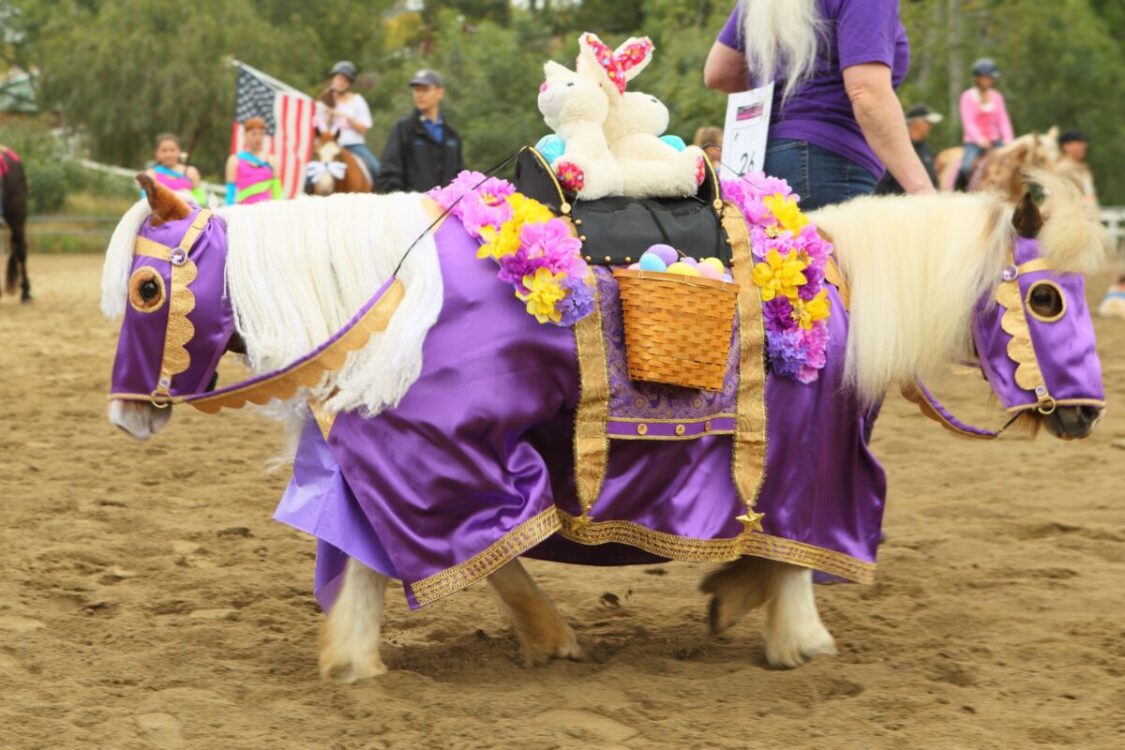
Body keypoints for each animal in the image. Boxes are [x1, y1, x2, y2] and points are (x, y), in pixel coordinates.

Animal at [103, 173, 1107, 683]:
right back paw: (543, 637)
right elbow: (795, 548)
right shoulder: (810, 461)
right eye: (1047, 299)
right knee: (467, 539)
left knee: (393, 548)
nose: (1086, 413)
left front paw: (738, 599)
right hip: (448, 449)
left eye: (147, 289)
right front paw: (793, 633)